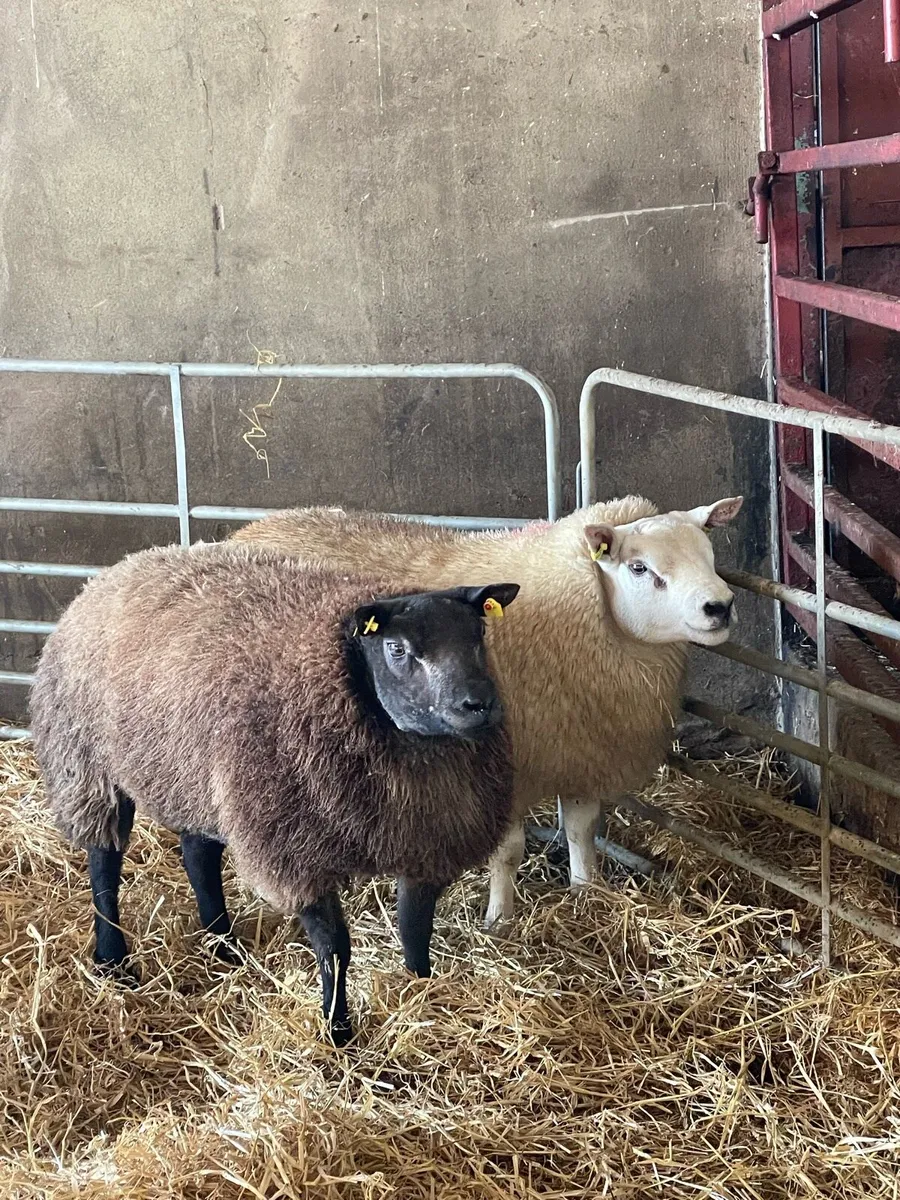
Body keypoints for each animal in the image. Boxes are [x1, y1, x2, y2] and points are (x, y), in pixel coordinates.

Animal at [29, 540, 519, 1044]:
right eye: (397, 648)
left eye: (479, 633)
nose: (478, 704)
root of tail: (121, 568)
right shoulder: (294, 852)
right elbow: (335, 948)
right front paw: (337, 1030)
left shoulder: (426, 843)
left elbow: (415, 929)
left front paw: (421, 989)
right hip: (86, 764)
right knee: (104, 861)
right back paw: (113, 959)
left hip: (192, 774)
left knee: (197, 855)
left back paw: (222, 945)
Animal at [230, 494, 744, 926]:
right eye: (639, 567)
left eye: (708, 552)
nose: (719, 606)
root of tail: (250, 529)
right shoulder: (507, 770)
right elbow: (509, 853)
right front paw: (500, 920)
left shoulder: (578, 751)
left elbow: (581, 832)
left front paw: (587, 891)